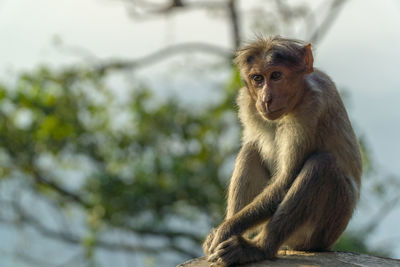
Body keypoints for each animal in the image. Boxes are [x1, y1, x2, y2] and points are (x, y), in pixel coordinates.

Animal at [203, 36, 362, 267]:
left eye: (276, 75)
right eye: (258, 78)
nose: (265, 99)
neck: (300, 95)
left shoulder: (312, 108)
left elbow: (287, 179)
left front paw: (226, 230)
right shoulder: (247, 103)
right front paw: (221, 233)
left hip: (324, 228)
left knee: (322, 165)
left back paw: (259, 248)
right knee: (251, 149)